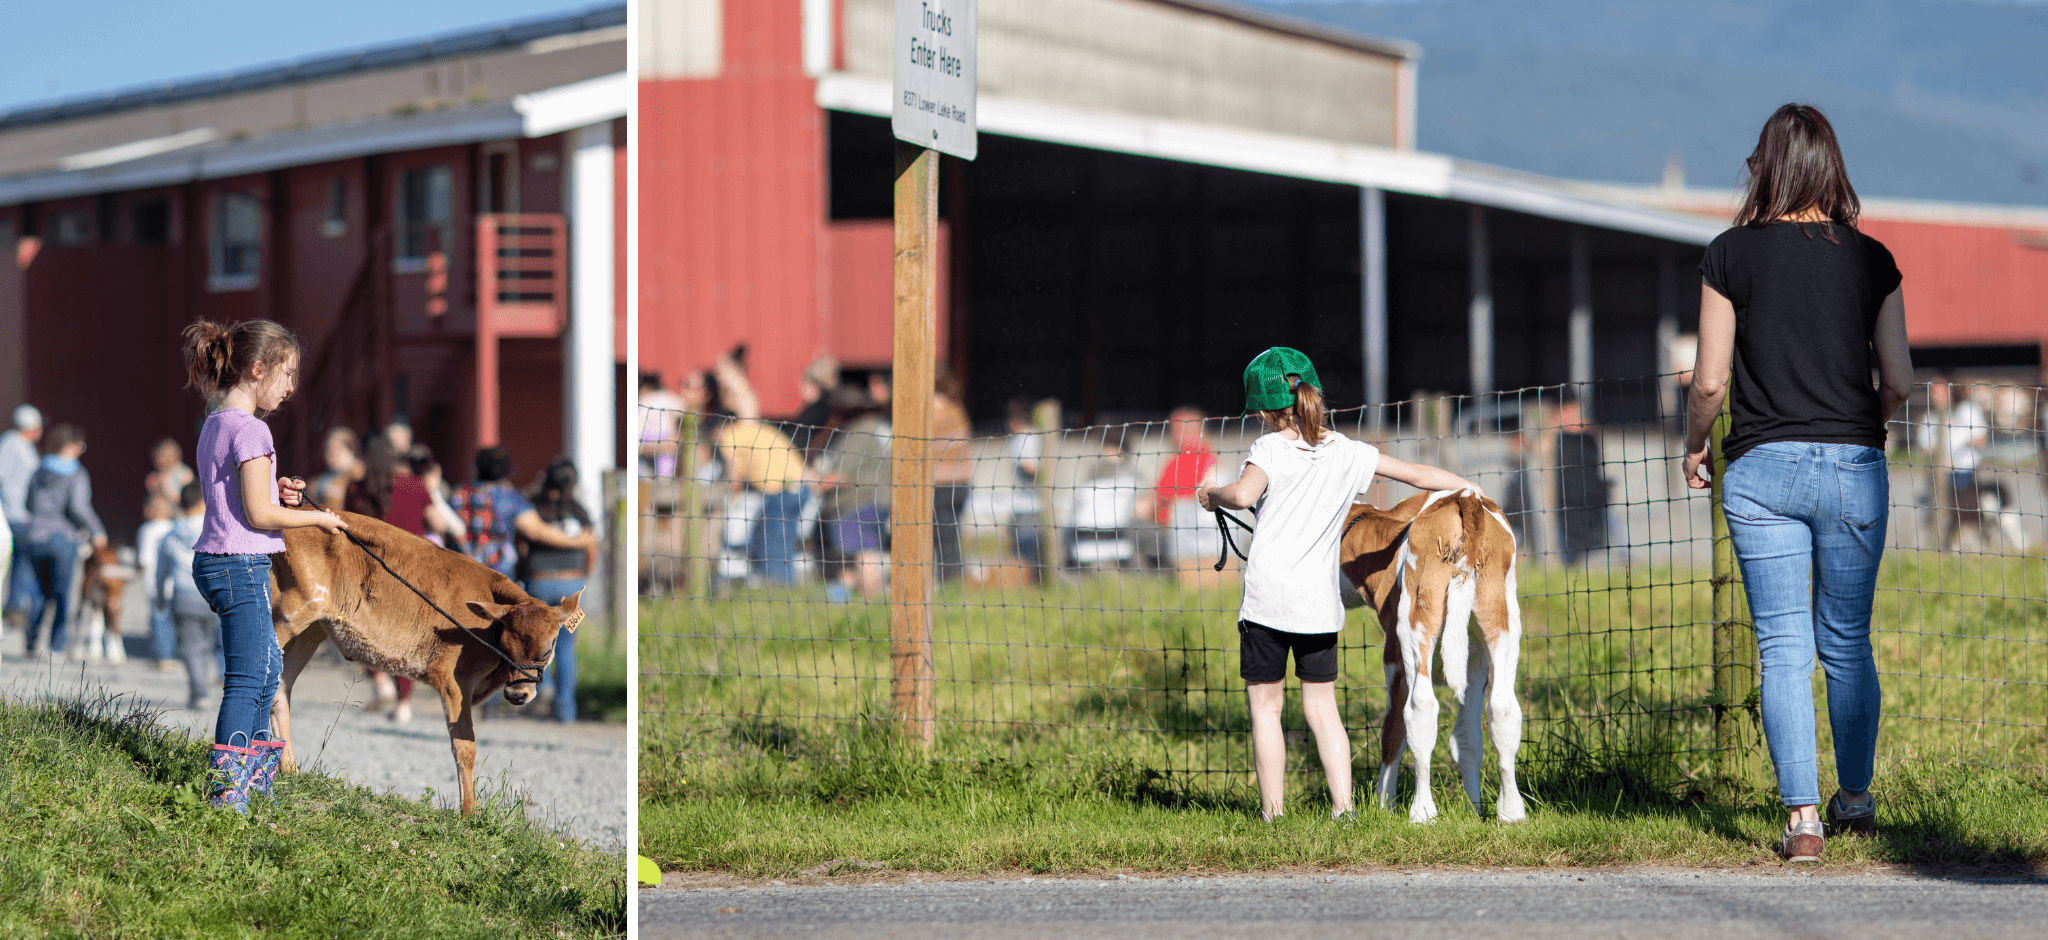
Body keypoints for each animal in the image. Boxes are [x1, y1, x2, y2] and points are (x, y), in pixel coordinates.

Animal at [268, 511, 581, 815]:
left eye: (546, 650)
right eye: (505, 646)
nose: (517, 694)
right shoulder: (453, 679)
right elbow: (464, 746)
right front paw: (469, 814)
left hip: (311, 631)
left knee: (282, 688)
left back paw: (290, 770)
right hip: (289, 612)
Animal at [1335, 489, 1531, 827]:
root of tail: (1466, 496)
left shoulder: (1395, 660)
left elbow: (1393, 733)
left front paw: (1384, 804)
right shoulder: (1475, 664)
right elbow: (1467, 738)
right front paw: (1474, 808)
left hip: (1415, 627)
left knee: (1422, 709)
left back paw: (1422, 812)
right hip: (1503, 623)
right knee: (1503, 711)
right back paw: (1511, 813)